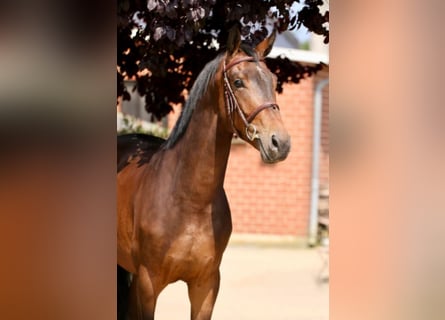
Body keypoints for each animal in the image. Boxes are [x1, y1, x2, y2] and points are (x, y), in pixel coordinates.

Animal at [116, 28, 292, 320]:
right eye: (238, 82)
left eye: (274, 80)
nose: (280, 143)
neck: (190, 201)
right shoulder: (148, 284)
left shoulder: (206, 285)